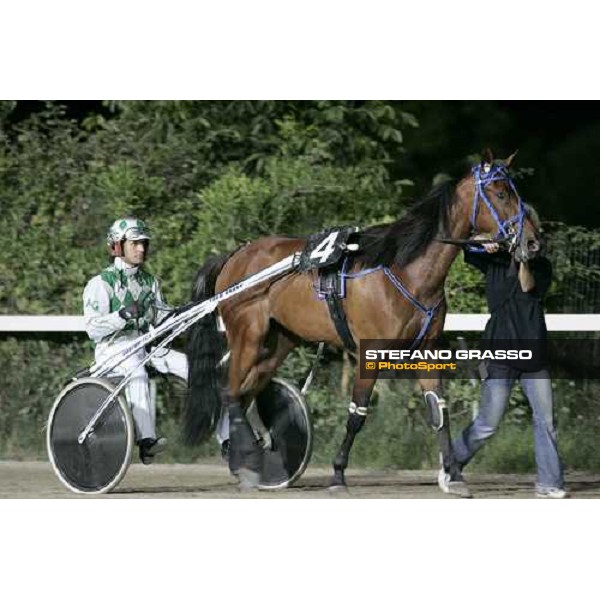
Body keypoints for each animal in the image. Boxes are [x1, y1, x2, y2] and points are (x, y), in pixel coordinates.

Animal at [182, 148, 540, 494]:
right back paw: (247, 459)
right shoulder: (370, 352)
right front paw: (338, 475)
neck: (406, 270)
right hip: (248, 335)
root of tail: (235, 256)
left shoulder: (426, 350)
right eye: (501, 193)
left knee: (246, 393)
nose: (532, 241)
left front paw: (454, 475)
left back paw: (245, 458)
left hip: (280, 340)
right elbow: (357, 414)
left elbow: (439, 411)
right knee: (230, 392)